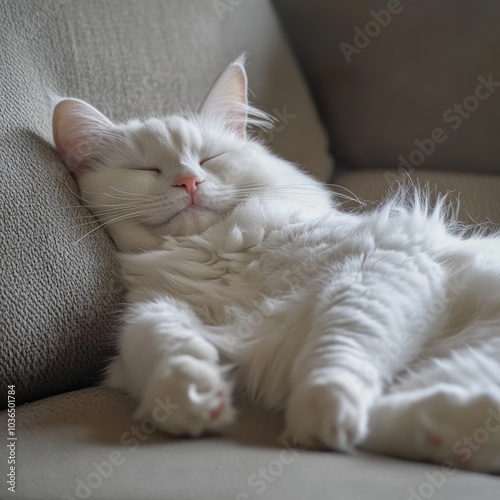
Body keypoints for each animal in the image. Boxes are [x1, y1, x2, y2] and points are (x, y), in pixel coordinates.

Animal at [52, 58, 500, 472]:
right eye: (147, 170)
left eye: (208, 159)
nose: (189, 181)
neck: (217, 249)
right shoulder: (152, 308)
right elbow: (156, 341)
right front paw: (191, 396)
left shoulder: (382, 261)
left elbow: (340, 342)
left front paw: (324, 408)